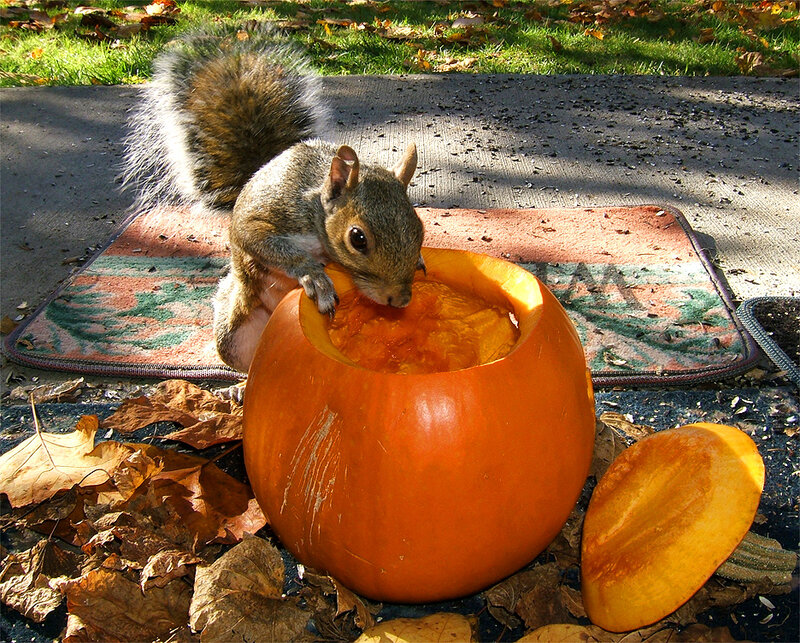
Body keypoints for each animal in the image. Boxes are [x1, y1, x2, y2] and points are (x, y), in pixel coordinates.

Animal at [122, 22, 425, 373]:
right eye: (358, 239)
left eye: (419, 229)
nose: (400, 299)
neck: (314, 211)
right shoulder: (273, 215)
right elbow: (256, 237)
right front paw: (313, 276)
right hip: (234, 332)